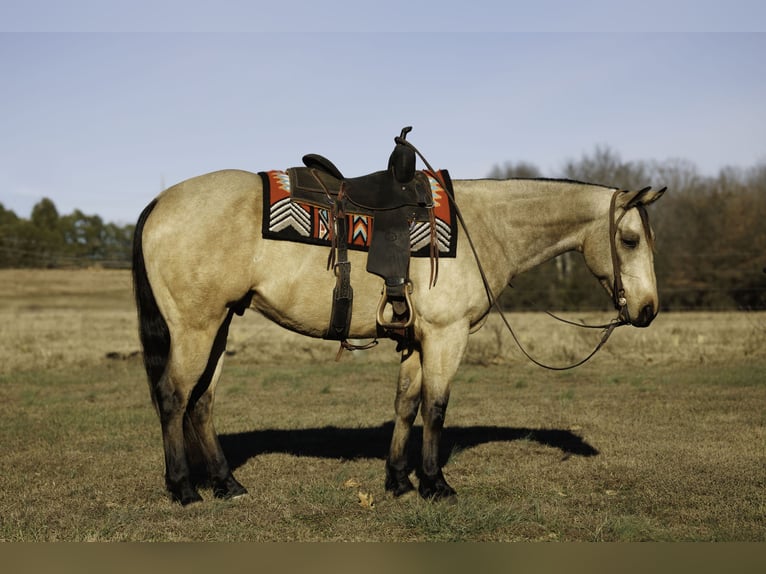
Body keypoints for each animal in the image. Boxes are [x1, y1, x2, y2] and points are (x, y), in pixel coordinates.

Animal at [132, 167, 665, 505]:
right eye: (630, 240)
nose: (647, 310)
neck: (481, 227)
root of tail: (160, 202)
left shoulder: (415, 340)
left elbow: (406, 404)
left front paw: (398, 480)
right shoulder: (446, 337)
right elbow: (435, 407)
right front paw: (434, 484)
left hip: (219, 325)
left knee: (202, 402)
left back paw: (227, 484)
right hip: (196, 328)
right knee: (174, 396)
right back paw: (184, 488)